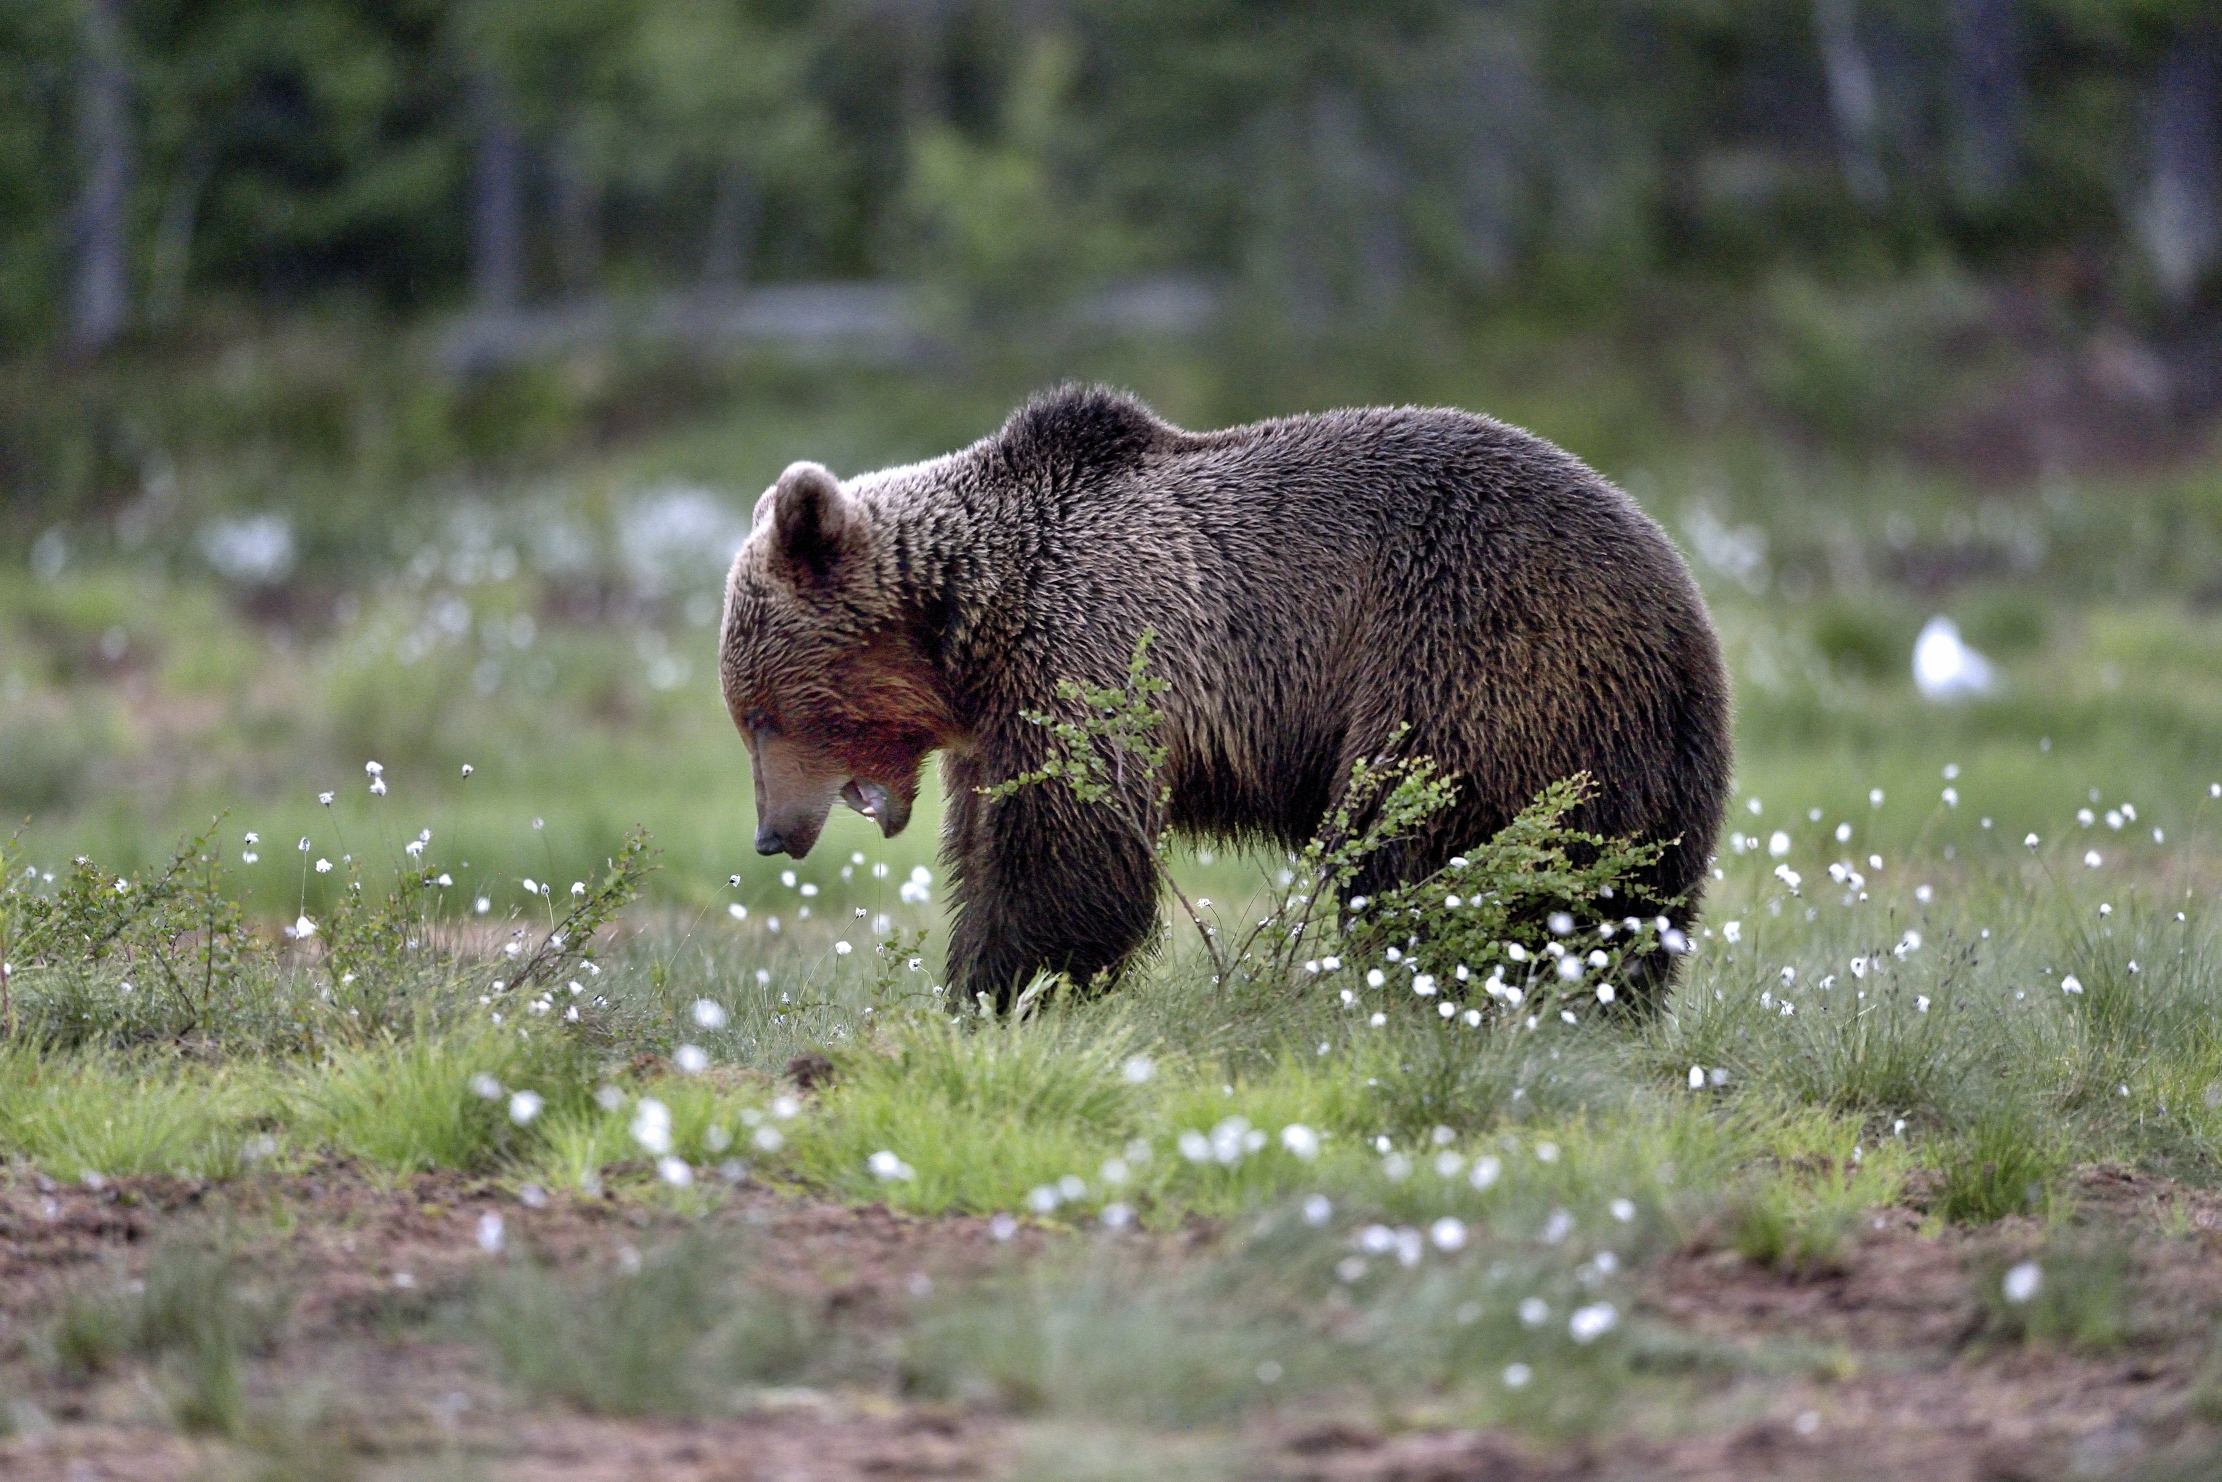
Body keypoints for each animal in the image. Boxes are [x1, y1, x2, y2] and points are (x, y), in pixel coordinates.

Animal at [719, 385, 1731, 1009]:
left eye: (763, 714)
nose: (771, 833)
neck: (974, 627)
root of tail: (1682, 589)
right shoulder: (1002, 724)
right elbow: (994, 845)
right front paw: (972, 983)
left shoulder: (1094, 650)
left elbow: (1067, 857)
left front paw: (999, 990)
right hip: (1631, 748)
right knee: (1623, 895)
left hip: (1471, 649)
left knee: (1421, 849)